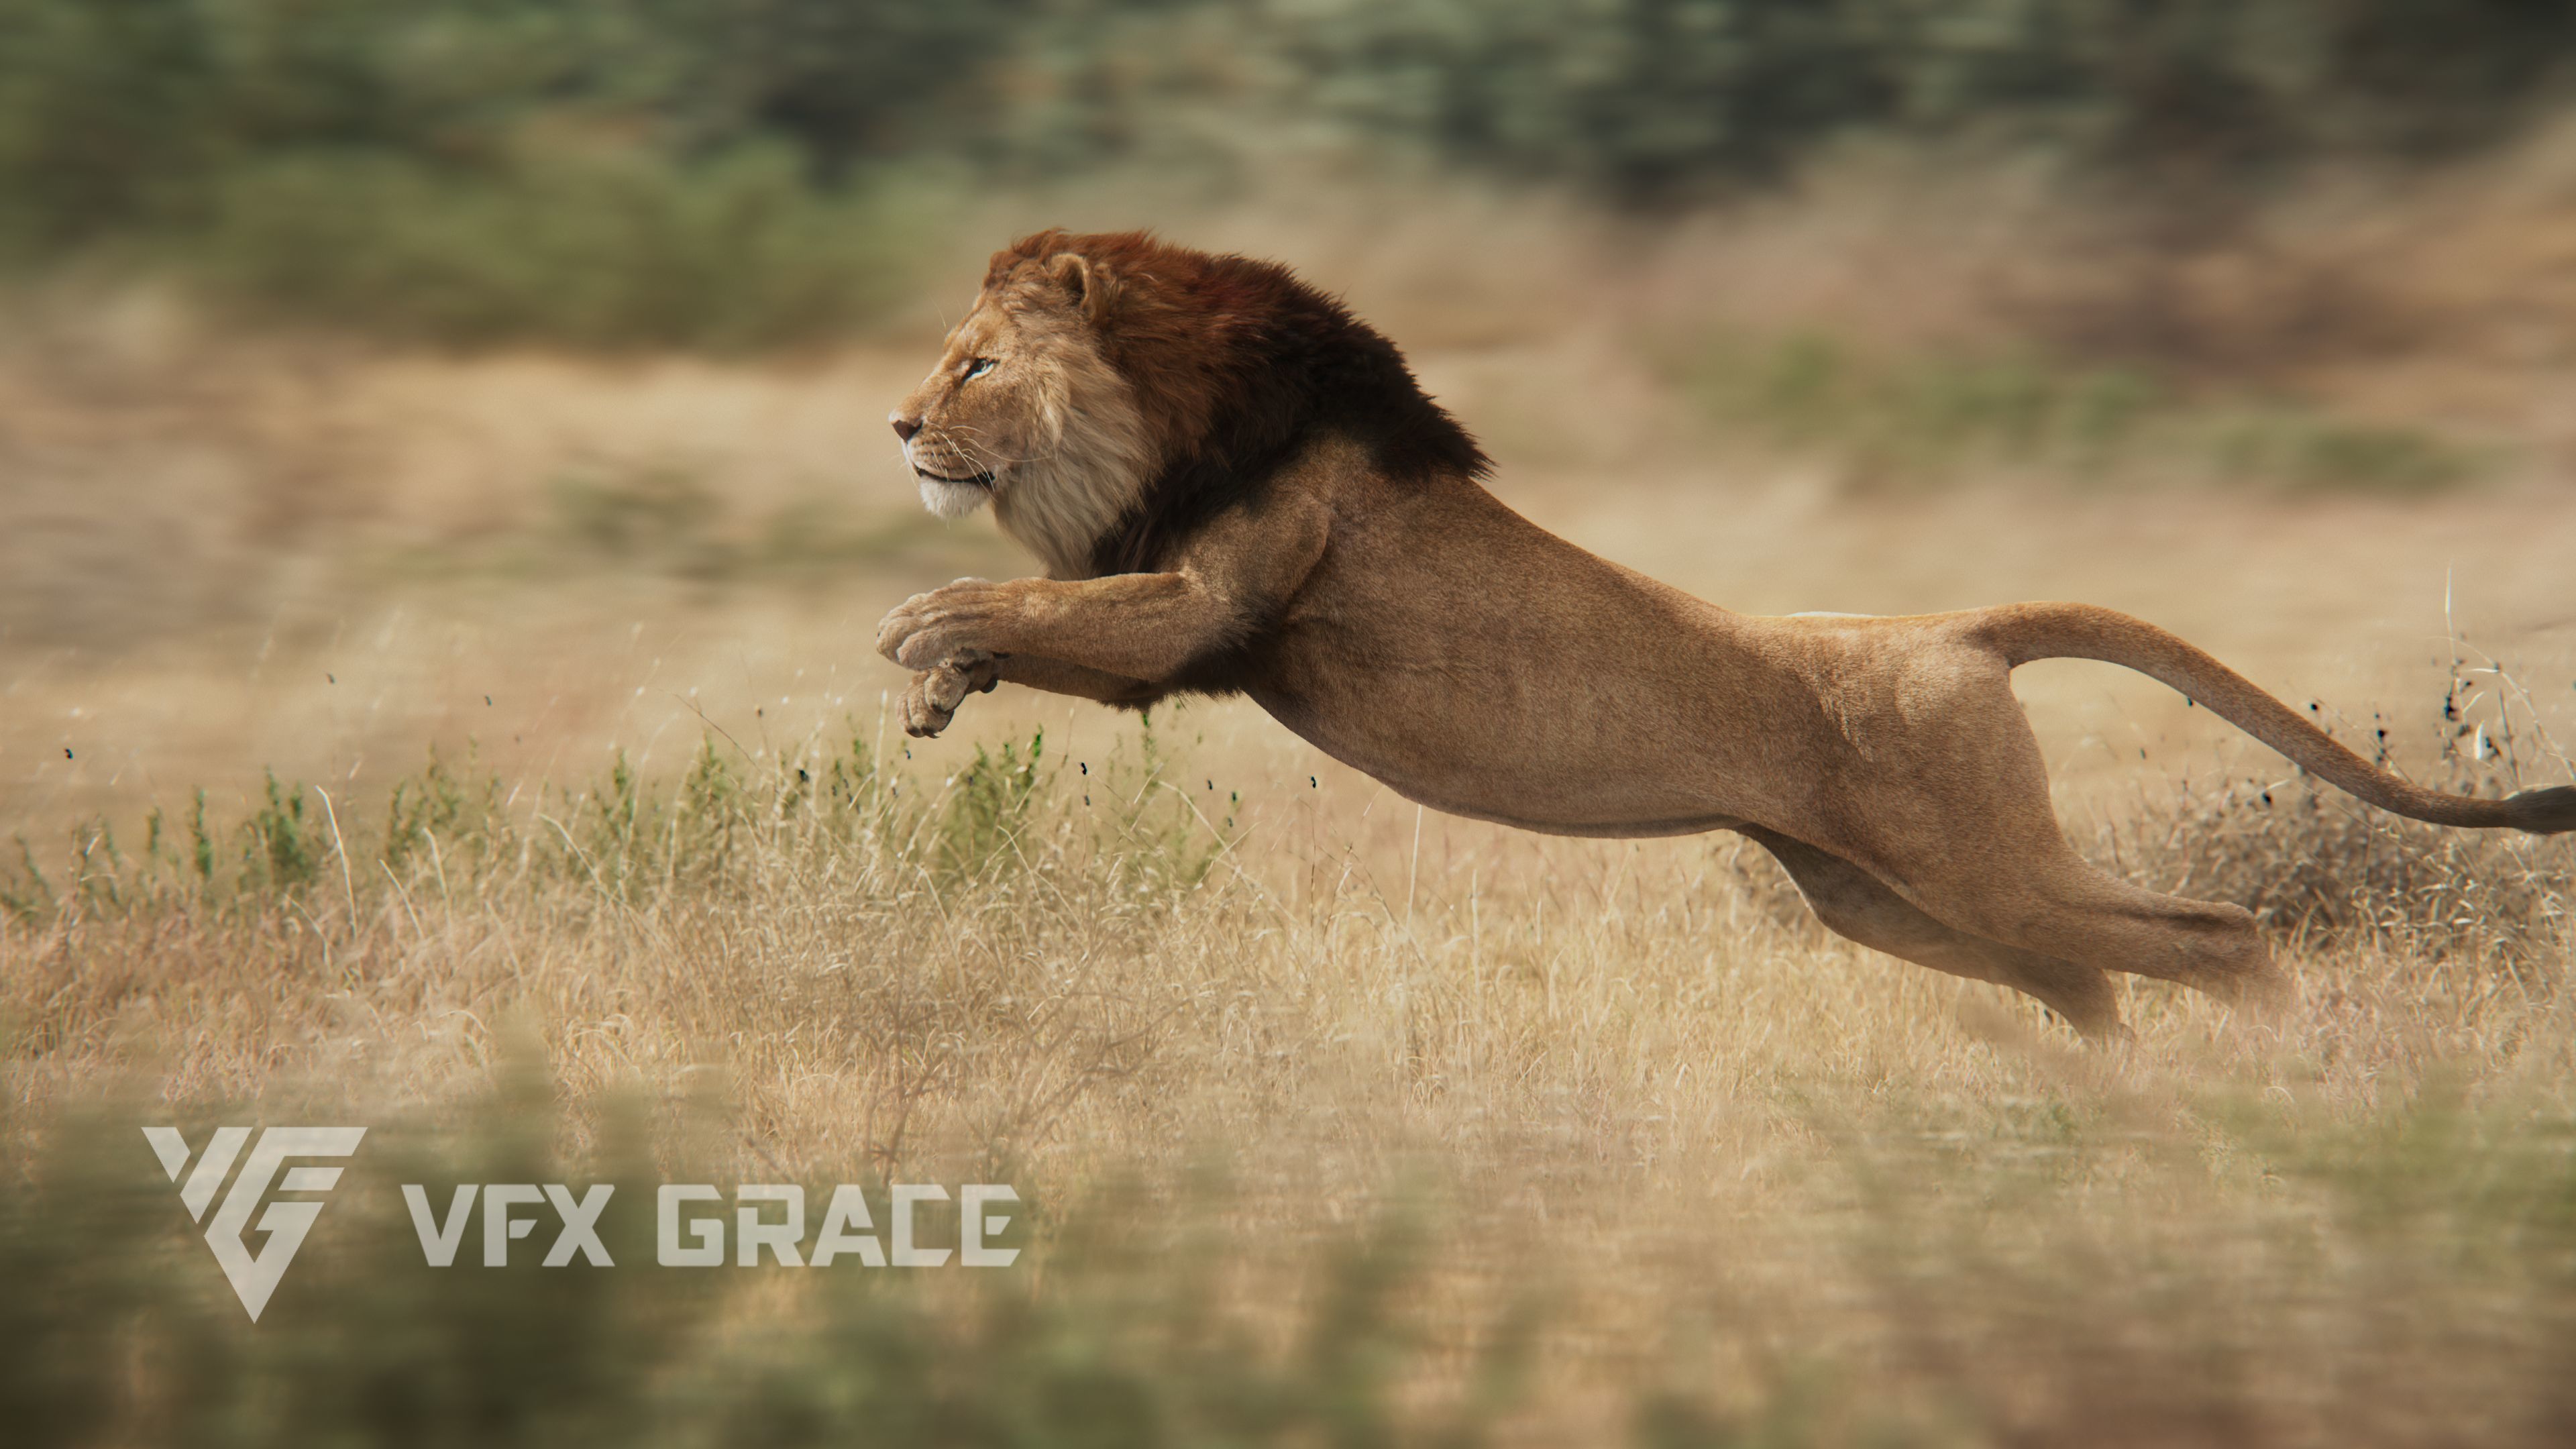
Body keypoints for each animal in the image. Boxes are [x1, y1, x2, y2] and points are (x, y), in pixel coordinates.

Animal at [875, 228, 2575, 1038]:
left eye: (972, 366)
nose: (896, 426)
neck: (1161, 419)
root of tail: (1955, 628)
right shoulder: (1186, 625)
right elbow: (1042, 624)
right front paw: (941, 691)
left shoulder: (1217, 606)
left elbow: (1029, 599)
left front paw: (917, 629)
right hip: (1890, 901)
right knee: (2089, 983)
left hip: (1976, 865)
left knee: (2220, 933)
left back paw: (2276, 1079)